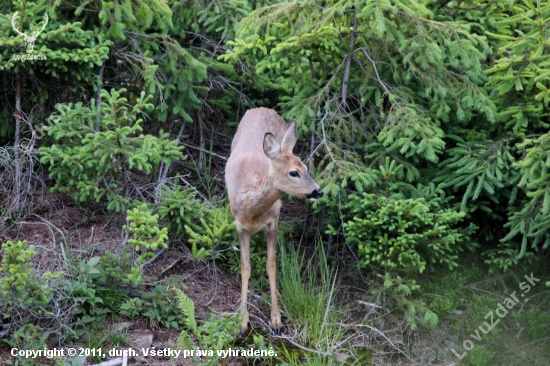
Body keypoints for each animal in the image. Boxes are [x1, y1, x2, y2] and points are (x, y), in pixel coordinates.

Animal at [226, 106, 326, 334]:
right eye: (294, 173)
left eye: (306, 168)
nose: (318, 191)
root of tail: (261, 108)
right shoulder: (240, 226)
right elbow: (245, 267)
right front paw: (242, 322)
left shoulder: (273, 221)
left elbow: (271, 265)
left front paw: (277, 321)